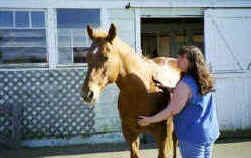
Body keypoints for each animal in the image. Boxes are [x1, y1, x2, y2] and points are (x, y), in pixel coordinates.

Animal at [81, 23, 181, 158]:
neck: (142, 91)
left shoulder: (162, 138)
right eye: (87, 58)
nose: (87, 93)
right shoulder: (130, 134)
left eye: (106, 57)